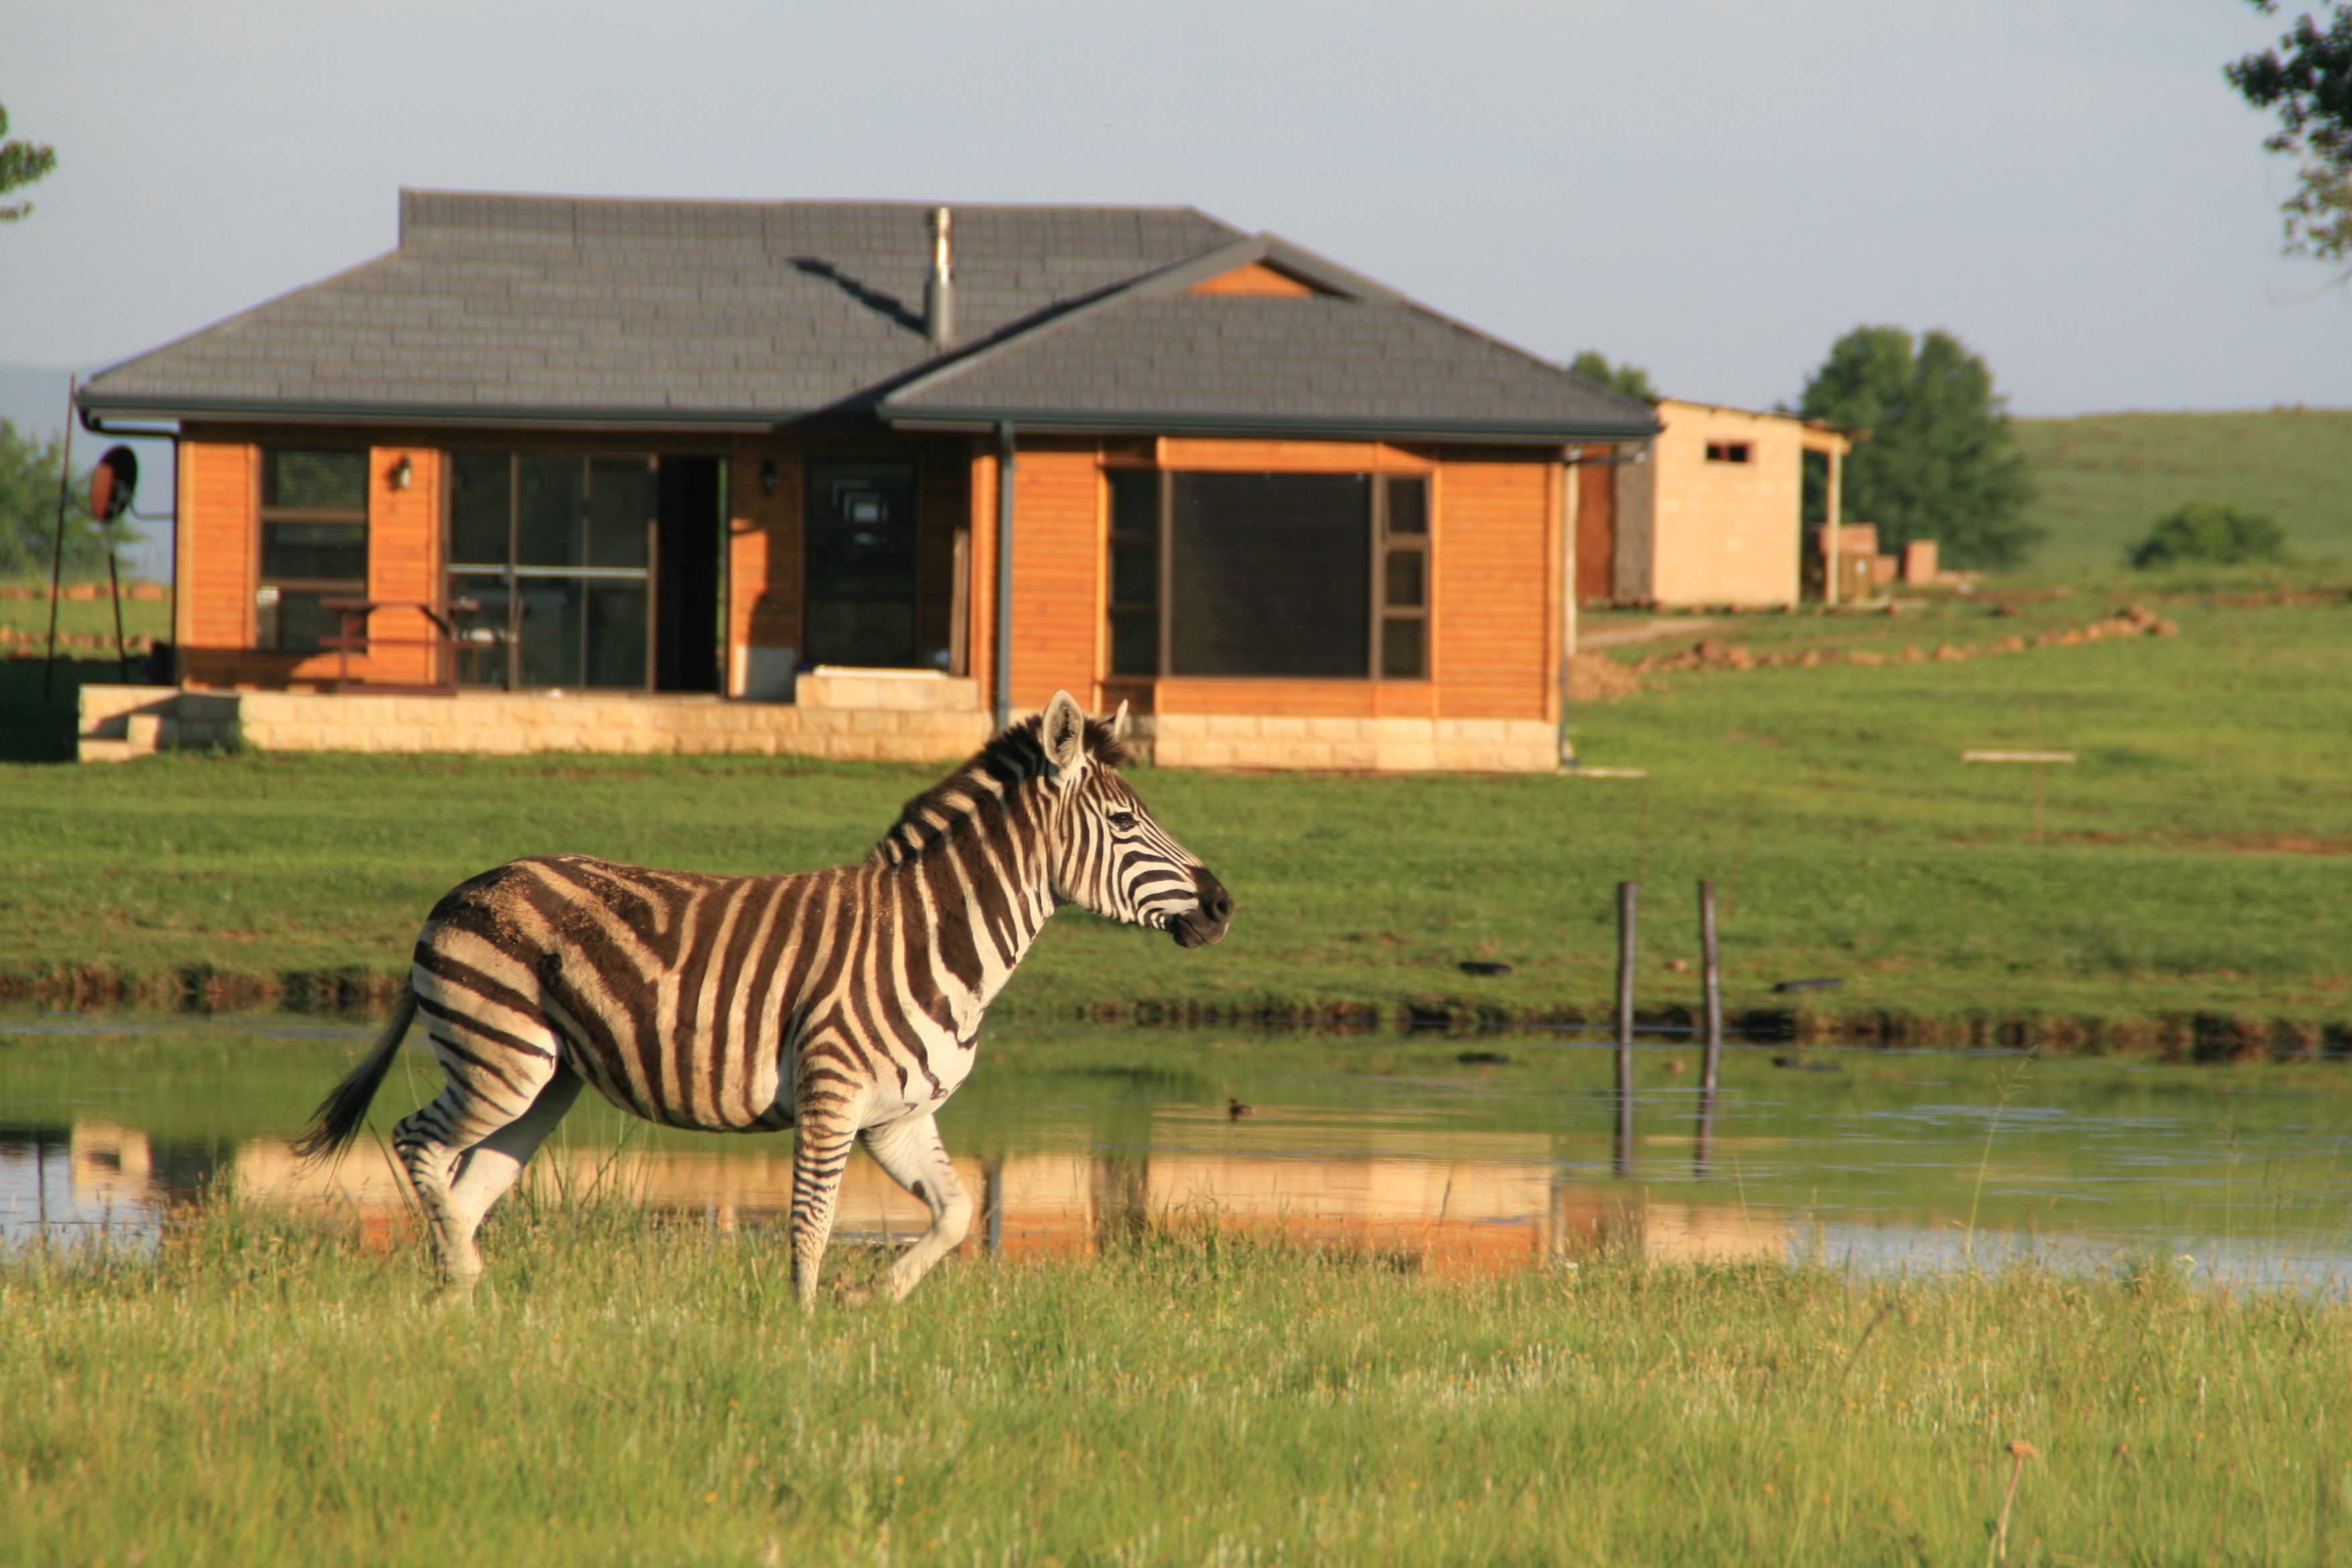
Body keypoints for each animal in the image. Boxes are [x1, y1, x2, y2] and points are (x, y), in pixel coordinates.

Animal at [294, 690, 1232, 1305]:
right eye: (1124, 824)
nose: (1223, 904)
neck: (935, 936)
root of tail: (460, 889)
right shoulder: (832, 1093)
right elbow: (810, 1226)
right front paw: (802, 1334)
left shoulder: (898, 1116)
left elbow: (957, 1213)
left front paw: (873, 1295)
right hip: (501, 1055)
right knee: (417, 1141)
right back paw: (459, 1280)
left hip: (546, 1079)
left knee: (468, 1184)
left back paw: (465, 1300)